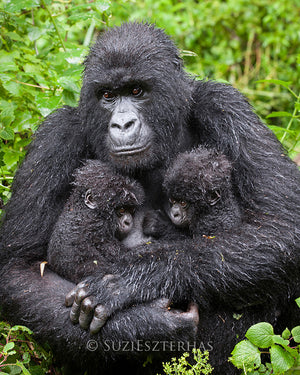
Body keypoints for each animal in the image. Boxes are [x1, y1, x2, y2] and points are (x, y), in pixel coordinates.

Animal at [0, 22, 300, 375]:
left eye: (137, 91)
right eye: (107, 96)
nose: (122, 123)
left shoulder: (226, 107)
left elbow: (282, 226)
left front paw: (132, 280)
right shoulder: (56, 136)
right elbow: (19, 269)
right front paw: (144, 322)